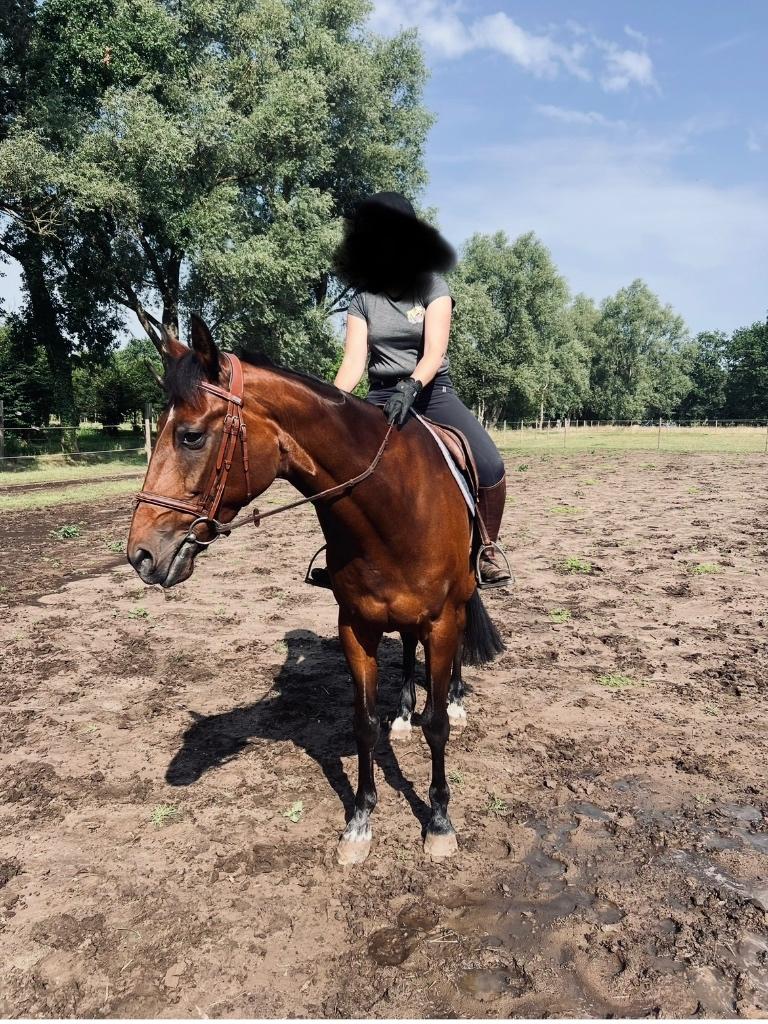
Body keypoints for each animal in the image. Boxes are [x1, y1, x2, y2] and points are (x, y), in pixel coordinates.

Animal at [126, 314, 504, 864]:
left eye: (191, 436)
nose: (141, 555)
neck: (393, 502)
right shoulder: (356, 625)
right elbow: (363, 723)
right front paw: (360, 822)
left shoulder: (441, 620)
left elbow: (438, 726)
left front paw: (438, 821)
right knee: (405, 646)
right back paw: (403, 712)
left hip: (457, 603)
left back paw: (453, 697)